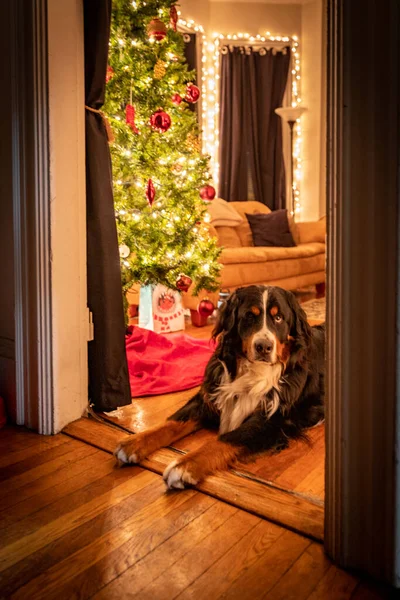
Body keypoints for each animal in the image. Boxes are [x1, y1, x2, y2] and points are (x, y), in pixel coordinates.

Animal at [113, 284, 324, 488]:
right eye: (249, 316)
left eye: (279, 318)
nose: (264, 347)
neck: (251, 371)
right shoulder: (209, 396)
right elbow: (172, 423)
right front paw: (134, 442)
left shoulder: (272, 420)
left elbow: (226, 439)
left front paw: (185, 465)